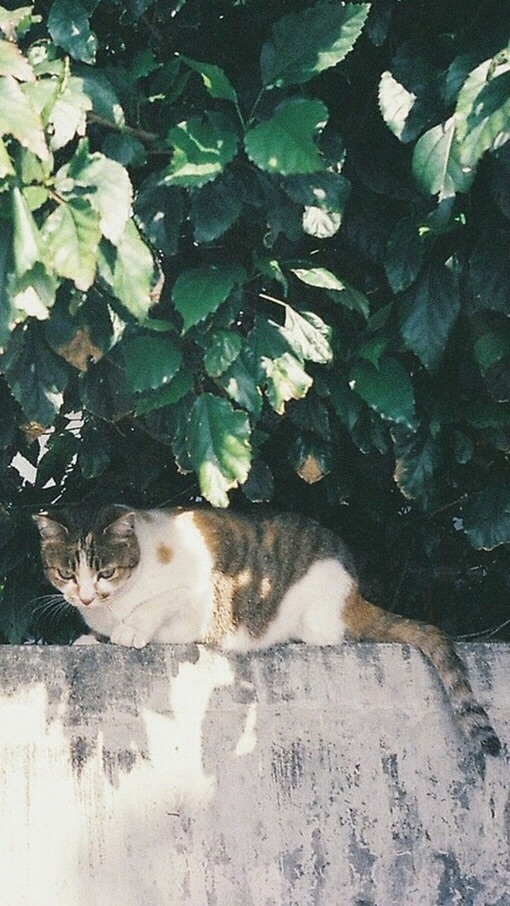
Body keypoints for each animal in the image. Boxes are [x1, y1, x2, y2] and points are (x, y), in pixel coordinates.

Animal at [32, 502, 502, 756]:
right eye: (66, 574)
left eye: (105, 572)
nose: (85, 598)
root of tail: (352, 591)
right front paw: (91, 638)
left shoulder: (200, 591)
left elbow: (156, 607)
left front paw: (131, 630)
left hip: (310, 610)